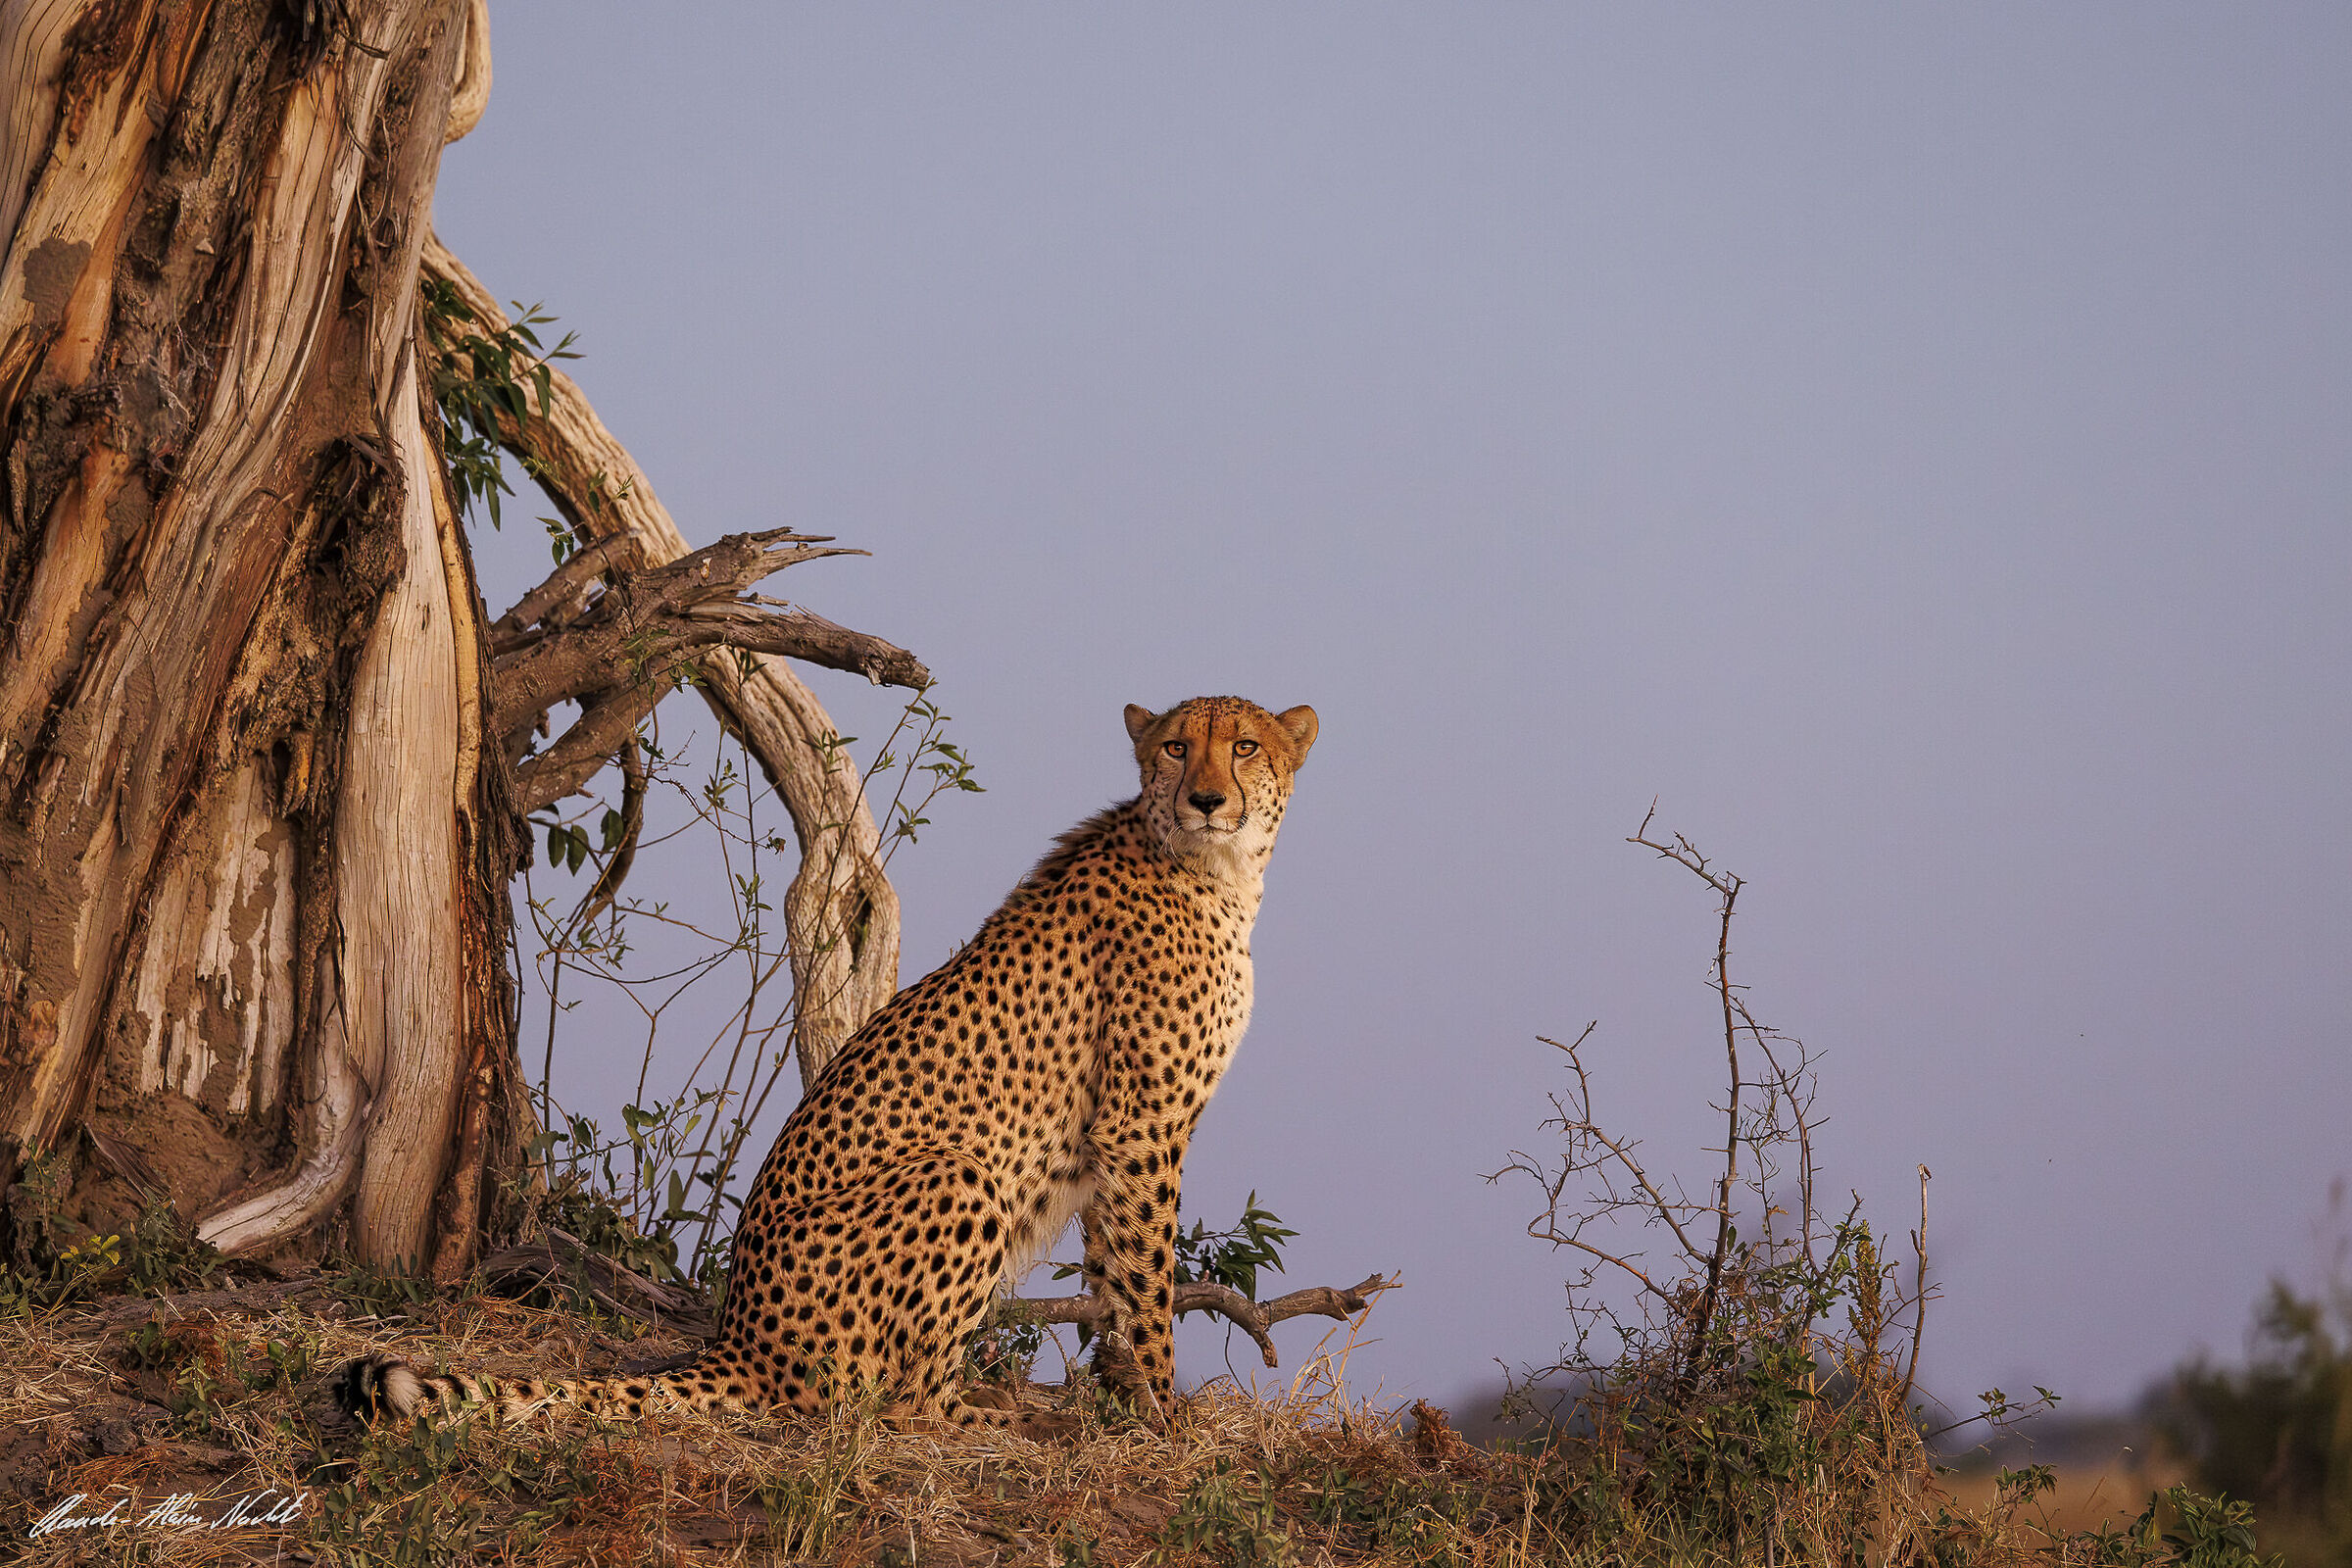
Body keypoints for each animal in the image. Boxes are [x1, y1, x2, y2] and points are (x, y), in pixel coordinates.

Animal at [338, 694, 1318, 1430]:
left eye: (1244, 747)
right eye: (1176, 748)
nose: (1206, 798)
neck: (1216, 870)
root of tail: (737, 1336)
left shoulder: (1123, 1137)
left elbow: (1117, 1273)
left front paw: (1127, 1401)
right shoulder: (1139, 1126)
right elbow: (1147, 1277)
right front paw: (1162, 1410)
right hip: (960, 1174)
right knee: (896, 1400)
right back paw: (996, 1411)